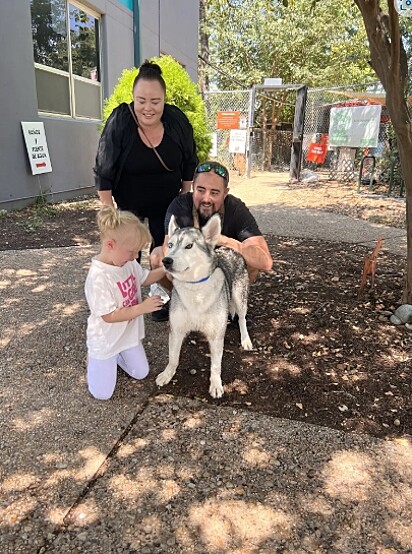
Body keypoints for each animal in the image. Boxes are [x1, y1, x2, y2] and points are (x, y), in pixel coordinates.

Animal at [156, 211, 253, 396]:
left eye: (189, 246)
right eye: (170, 245)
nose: (166, 260)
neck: (195, 289)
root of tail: (231, 249)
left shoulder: (216, 336)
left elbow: (215, 366)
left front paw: (215, 384)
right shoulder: (176, 330)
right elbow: (173, 357)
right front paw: (167, 374)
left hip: (240, 297)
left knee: (242, 318)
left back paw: (245, 339)